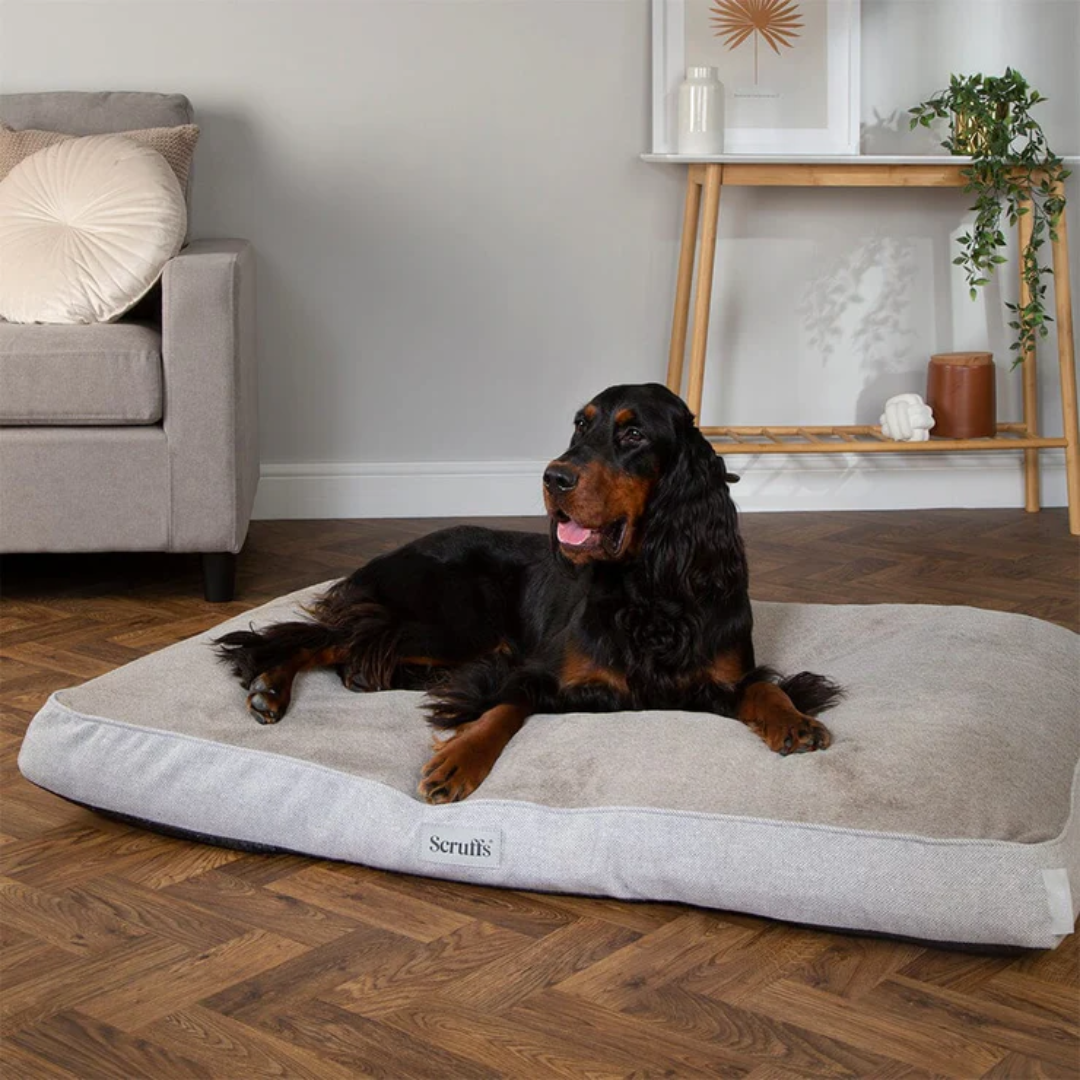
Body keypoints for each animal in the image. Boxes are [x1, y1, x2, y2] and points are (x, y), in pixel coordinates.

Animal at [217, 382, 842, 803]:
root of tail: (391, 554)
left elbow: (764, 687)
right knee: (320, 635)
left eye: (633, 433)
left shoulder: (721, 676)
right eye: (579, 426)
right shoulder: (548, 675)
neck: (649, 590)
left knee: (348, 647)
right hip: (456, 623)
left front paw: (794, 721)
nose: (553, 477)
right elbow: (504, 707)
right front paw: (458, 760)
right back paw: (270, 683)